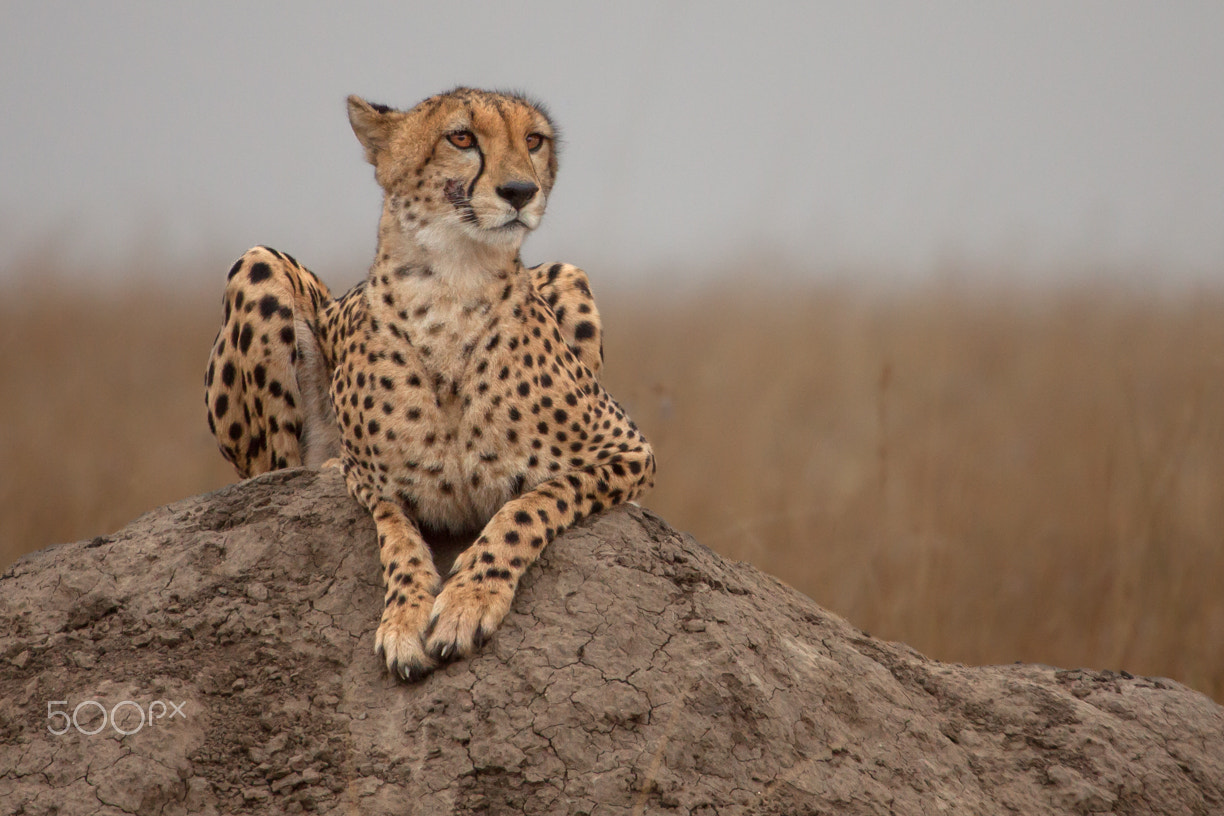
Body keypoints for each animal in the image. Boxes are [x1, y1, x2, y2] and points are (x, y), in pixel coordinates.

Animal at [204, 88, 655, 682]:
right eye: (461, 137)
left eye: (533, 140)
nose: (520, 191)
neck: (452, 285)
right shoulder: (368, 480)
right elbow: (398, 539)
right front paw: (404, 618)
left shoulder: (627, 451)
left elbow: (528, 507)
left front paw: (468, 601)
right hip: (257, 265)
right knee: (276, 467)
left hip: (568, 273)